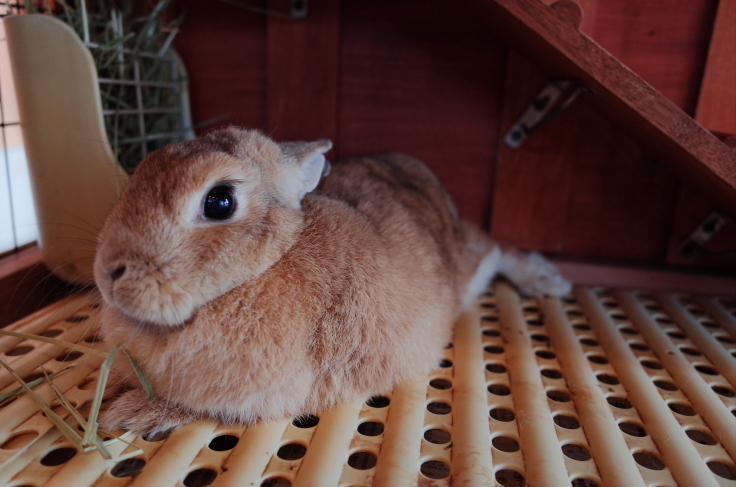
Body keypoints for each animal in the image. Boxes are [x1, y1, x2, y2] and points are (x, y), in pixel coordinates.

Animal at [95, 127, 568, 436]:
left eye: (219, 201)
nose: (108, 272)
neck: (261, 269)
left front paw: (129, 415)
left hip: (468, 259)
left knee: (497, 247)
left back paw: (550, 282)